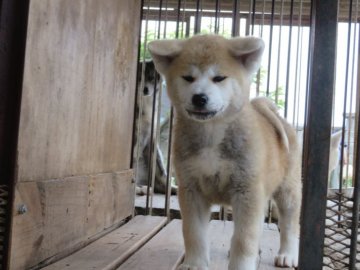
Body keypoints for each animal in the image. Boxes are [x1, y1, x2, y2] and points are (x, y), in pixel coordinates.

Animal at [148, 35, 302, 270]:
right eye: (188, 78)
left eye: (219, 78)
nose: (199, 98)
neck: (212, 134)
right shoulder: (191, 190)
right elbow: (193, 233)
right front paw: (195, 264)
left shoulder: (247, 190)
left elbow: (244, 239)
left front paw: (241, 265)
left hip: (287, 191)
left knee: (289, 225)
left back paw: (288, 254)